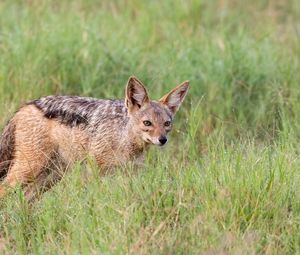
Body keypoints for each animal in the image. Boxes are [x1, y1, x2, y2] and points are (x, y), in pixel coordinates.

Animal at [0, 75, 189, 197]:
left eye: (167, 124)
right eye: (147, 123)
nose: (162, 140)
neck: (122, 137)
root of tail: (25, 106)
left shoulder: (130, 174)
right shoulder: (95, 170)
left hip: (50, 176)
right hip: (30, 169)